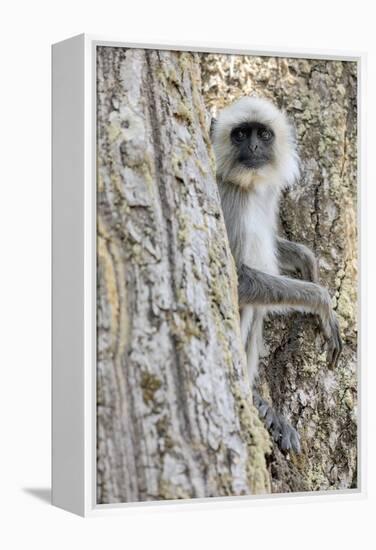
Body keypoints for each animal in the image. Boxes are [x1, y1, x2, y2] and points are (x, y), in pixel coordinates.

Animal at [210, 97, 342, 454]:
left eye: (264, 134)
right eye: (241, 134)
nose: (254, 146)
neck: (247, 188)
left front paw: (309, 264)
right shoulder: (225, 199)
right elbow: (238, 279)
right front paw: (321, 300)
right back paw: (253, 398)